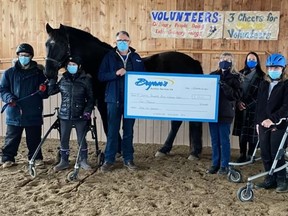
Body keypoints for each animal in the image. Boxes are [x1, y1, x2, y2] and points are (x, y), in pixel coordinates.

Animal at [44, 23, 202, 154]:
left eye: (62, 44)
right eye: (46, 44)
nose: (48, 72)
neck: (99, 62)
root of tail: (193, 61)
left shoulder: (104, 104)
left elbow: (108, 127)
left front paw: (116, 150)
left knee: (179, 123)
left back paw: (175, 150)